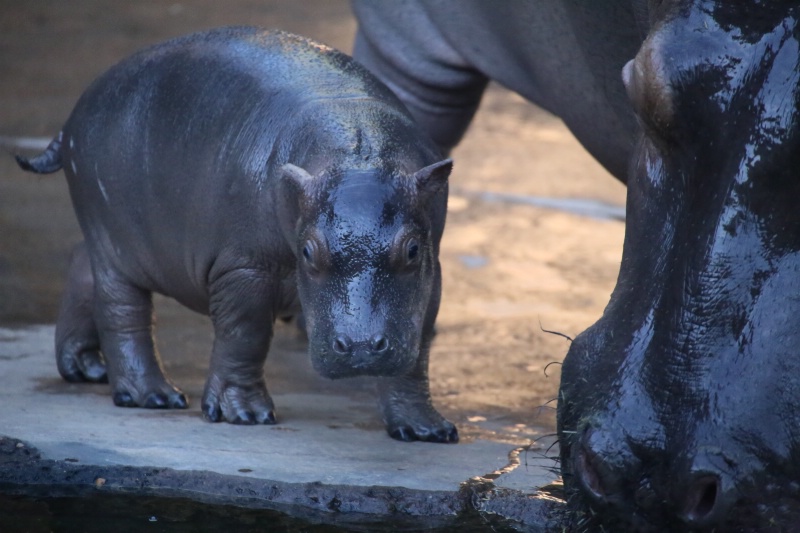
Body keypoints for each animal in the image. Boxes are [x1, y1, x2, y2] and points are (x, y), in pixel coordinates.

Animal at [17, 28, 456, 444]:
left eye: (412, 250)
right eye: (308, 252)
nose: (362, 347)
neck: (357, 150)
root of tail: (70, 118)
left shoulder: (431, 274)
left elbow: (417, 351)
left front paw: (426, 430)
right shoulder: (244, 268)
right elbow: (245, 333)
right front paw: (243, 414)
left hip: (107, 234)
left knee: (81, 264)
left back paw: (85, 368)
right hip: (117, 240)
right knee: (122, 309)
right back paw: (155, 396)